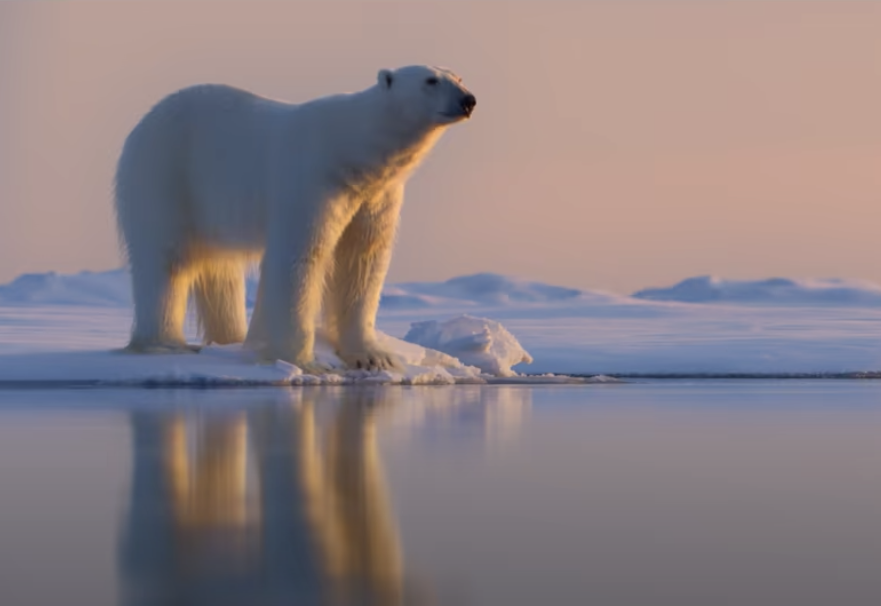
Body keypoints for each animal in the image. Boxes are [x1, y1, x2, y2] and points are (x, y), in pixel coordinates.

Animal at [116, 65, 478, 370]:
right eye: (431, 80)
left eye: (458, 76)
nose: (469, 100)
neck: (351, 151)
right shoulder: (313, 180)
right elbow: (301, 256)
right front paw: (303, 361)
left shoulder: (375, 195)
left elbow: (363, 259)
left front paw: (373, 357)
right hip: (166, 175)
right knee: (167, 258)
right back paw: (164, 343)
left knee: (221, 269)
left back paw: (231, 339)